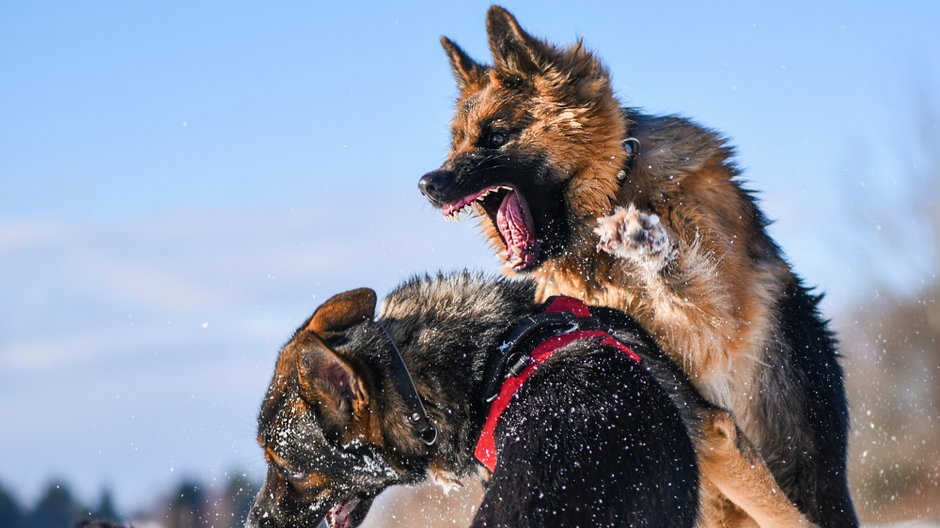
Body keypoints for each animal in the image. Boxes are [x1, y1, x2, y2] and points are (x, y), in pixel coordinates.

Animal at [422, 5, 856, 528]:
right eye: (455, 144)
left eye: (496, 137)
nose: (427, 184)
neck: (615, 187)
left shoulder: (718, 321)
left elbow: (685, 278)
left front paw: (646, 242)